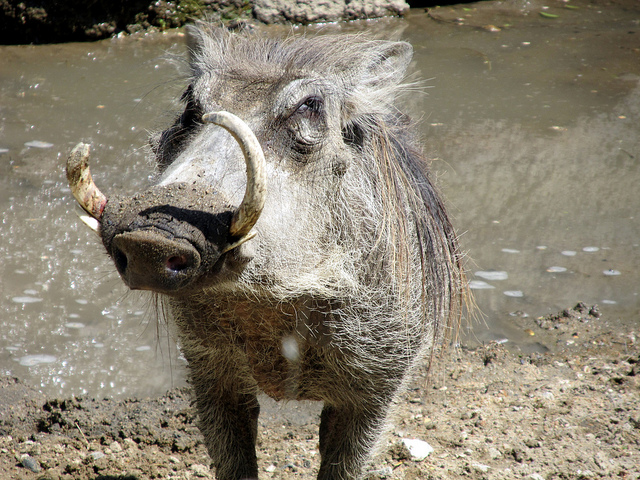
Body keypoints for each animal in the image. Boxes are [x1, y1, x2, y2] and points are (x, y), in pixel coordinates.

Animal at [67, 23, 466, 480]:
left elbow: (343, 464)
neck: (275, 298)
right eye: (190, 102)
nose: (150, 237)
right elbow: (232, 457)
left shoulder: (377, 388)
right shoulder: (209, 369)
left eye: (310, 106)